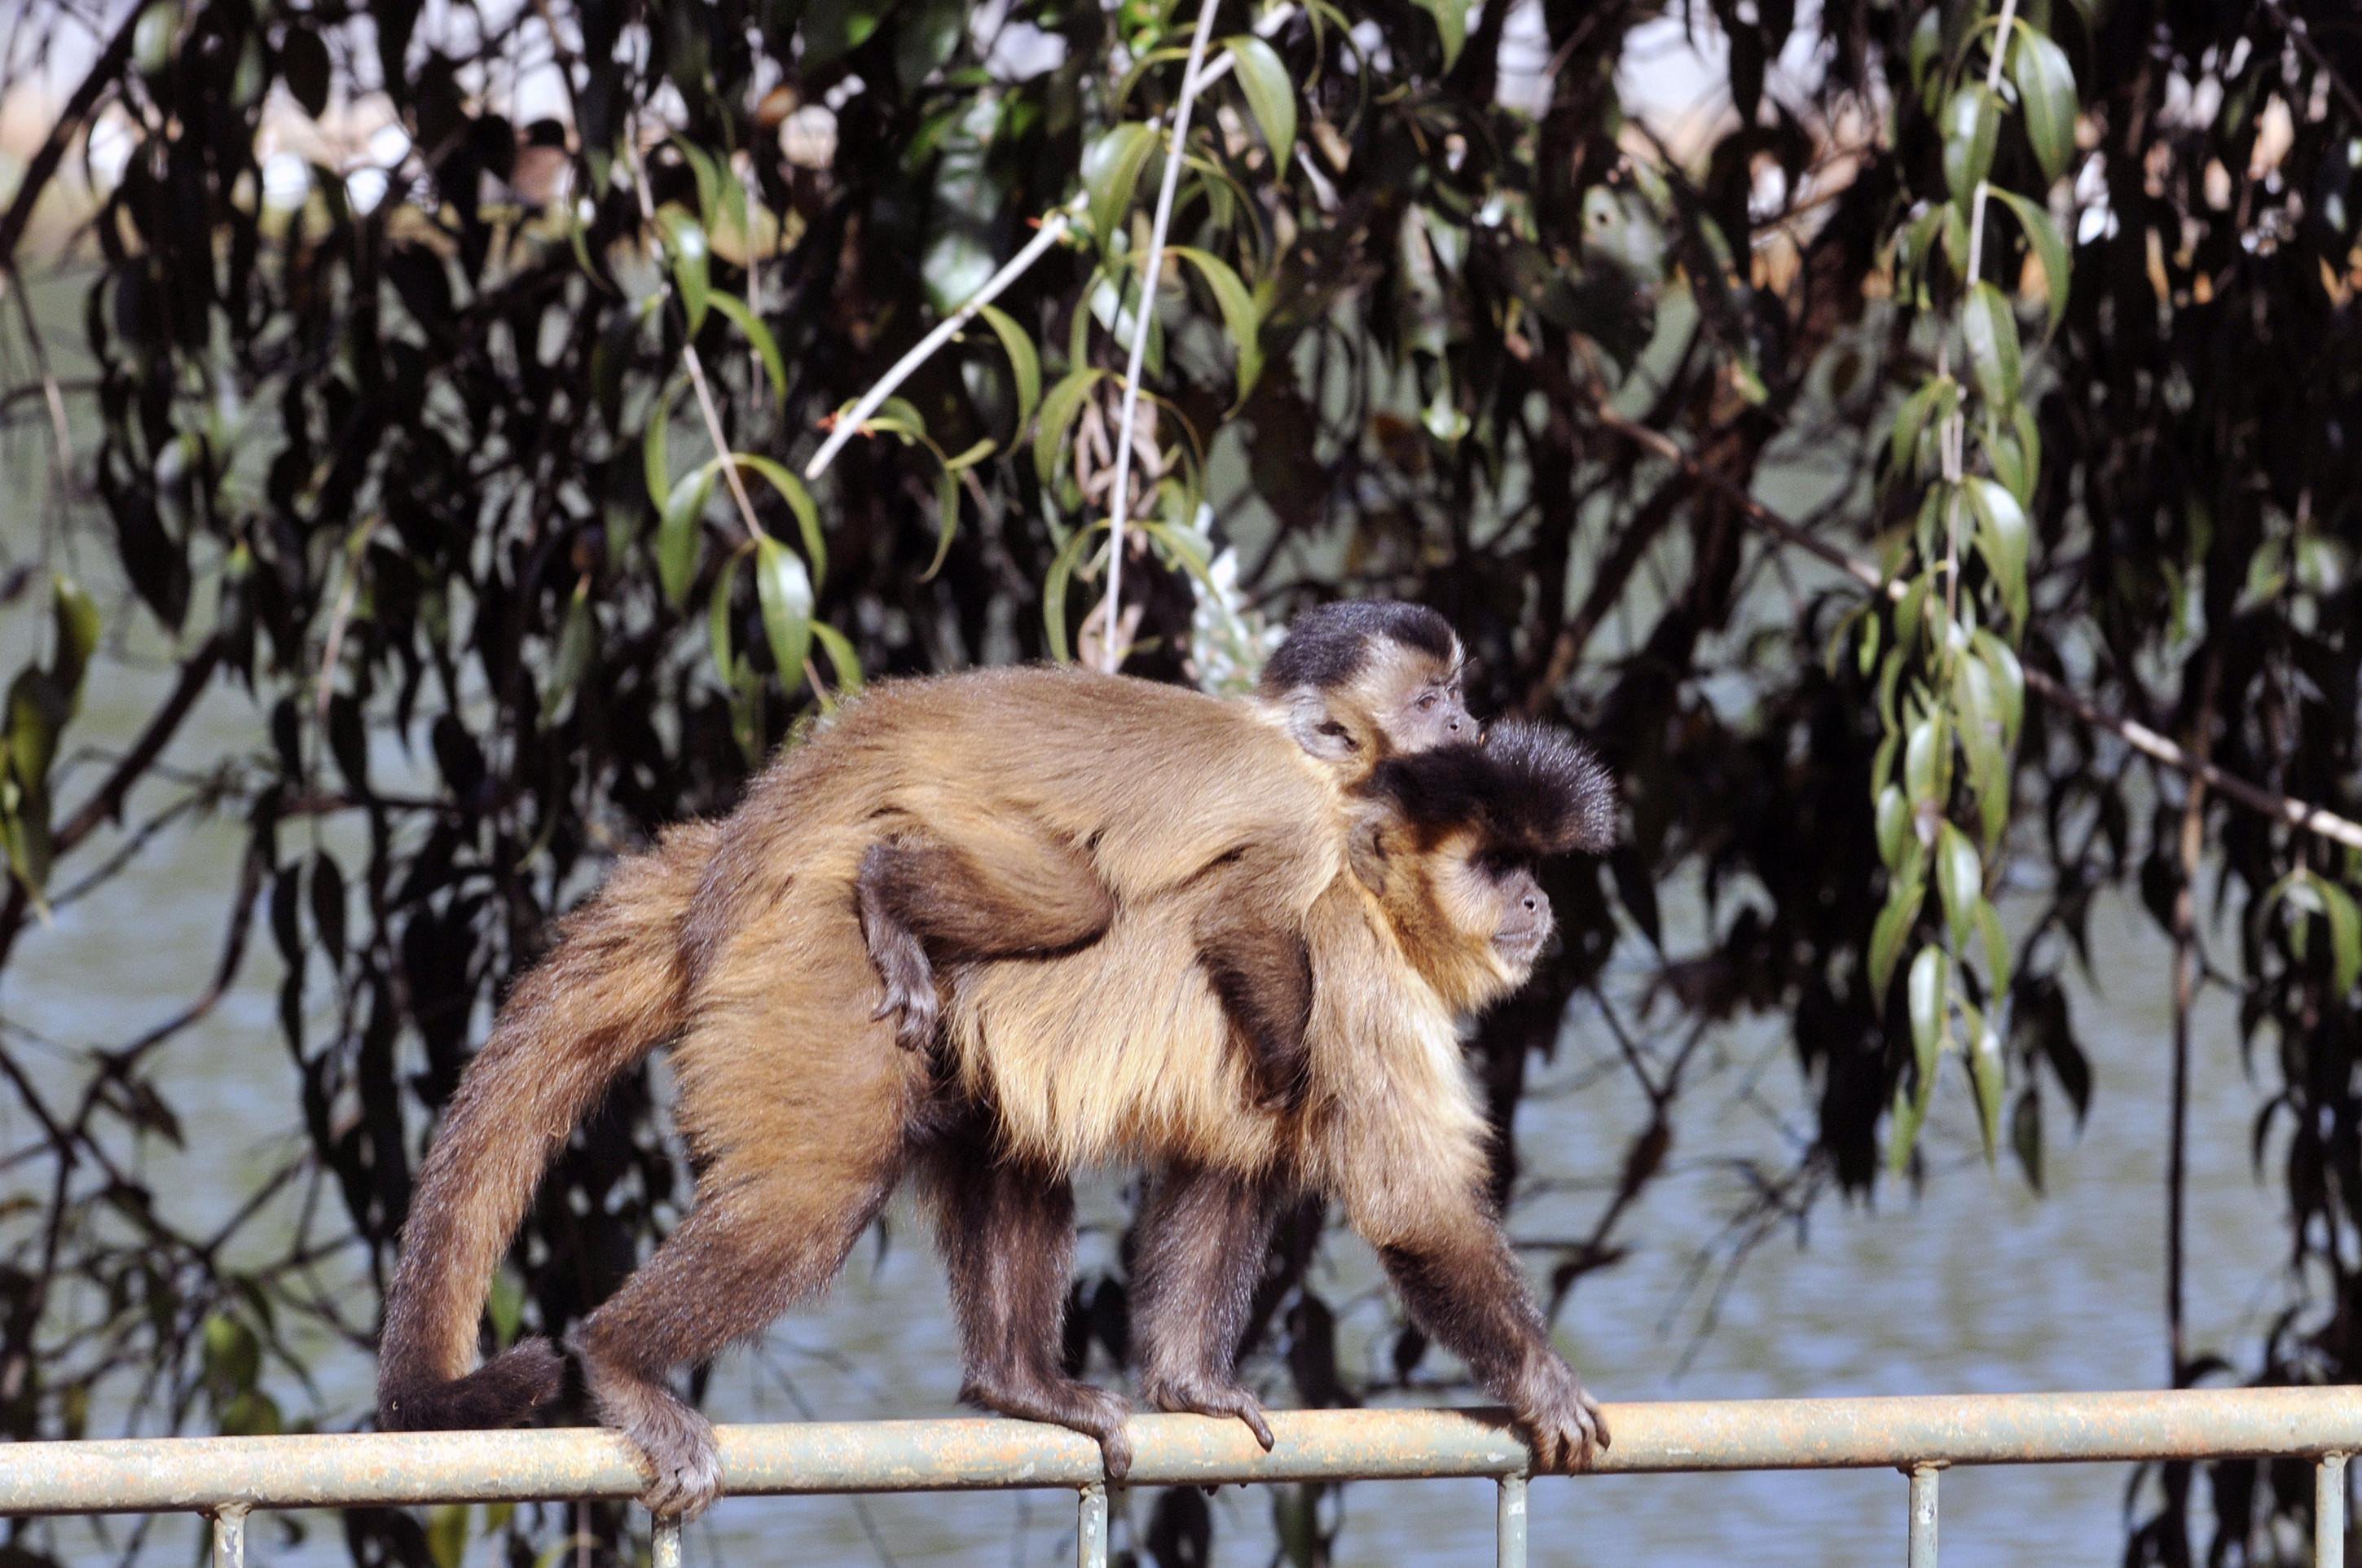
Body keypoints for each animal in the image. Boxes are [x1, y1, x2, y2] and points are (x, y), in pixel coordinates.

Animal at [375, 665, 1615, 1518]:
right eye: (1496, 867)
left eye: (1529, 870)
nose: (1538, 906)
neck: (1358, 874)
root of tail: (762, 854)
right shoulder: (1358, 978)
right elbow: (1410, 1204)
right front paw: (1538, 1375)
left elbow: (1231, 1160)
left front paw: (1188, 1385)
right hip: (822, 975)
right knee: (805, 1206)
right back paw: (620, 1363)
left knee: (1004, 1136)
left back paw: (1020, 1384)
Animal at [856, 599, 1471, 1114]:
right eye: (1426, 703)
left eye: (1455, 692)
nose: (1462, 721)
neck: (1308, 757)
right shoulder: (1309, 820)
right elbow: (1237, 922)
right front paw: (1284, 1080)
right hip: (963, 808)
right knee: (1077, 902)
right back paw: (883, 891)